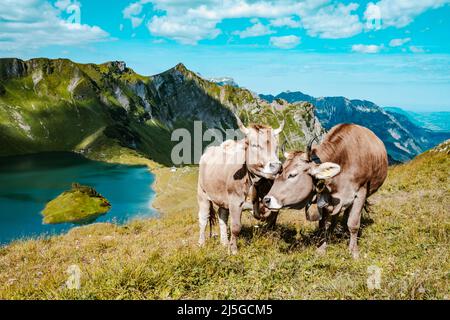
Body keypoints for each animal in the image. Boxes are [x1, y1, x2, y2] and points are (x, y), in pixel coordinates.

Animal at [198, 116, 284, 254]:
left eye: (276, 146)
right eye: (255, 145)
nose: (277, 167)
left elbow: (272, 216)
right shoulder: (235, 201)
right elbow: (236, 226)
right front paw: (233, 250)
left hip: (223, 199)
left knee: (222, 216)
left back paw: (224, 242)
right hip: (202, 194)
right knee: (203, 218)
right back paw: (201, 243)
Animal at [264, 124, 386, 258]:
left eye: (292, 175)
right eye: (278, 173)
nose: (266, 200)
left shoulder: (360, 193)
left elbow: (353, 224)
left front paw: (354, 252)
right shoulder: (324, 198)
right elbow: (323, 224)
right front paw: (321, 249)